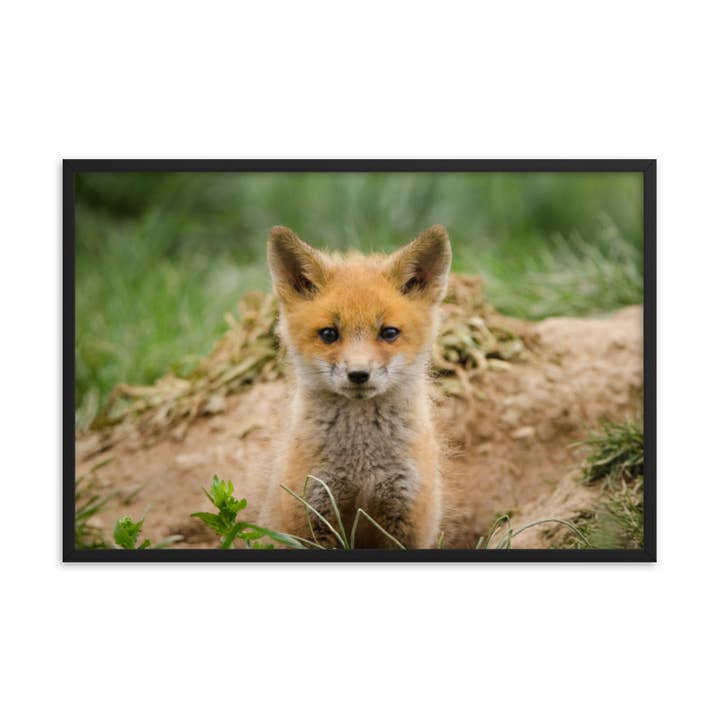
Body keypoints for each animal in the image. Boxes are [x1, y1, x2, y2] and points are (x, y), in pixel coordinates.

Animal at [259, 224, 452, 549]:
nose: (359, 374)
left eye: (389, 333)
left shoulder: (406, 519)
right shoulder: (312, 515)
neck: (362, 467)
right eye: (329, 334)